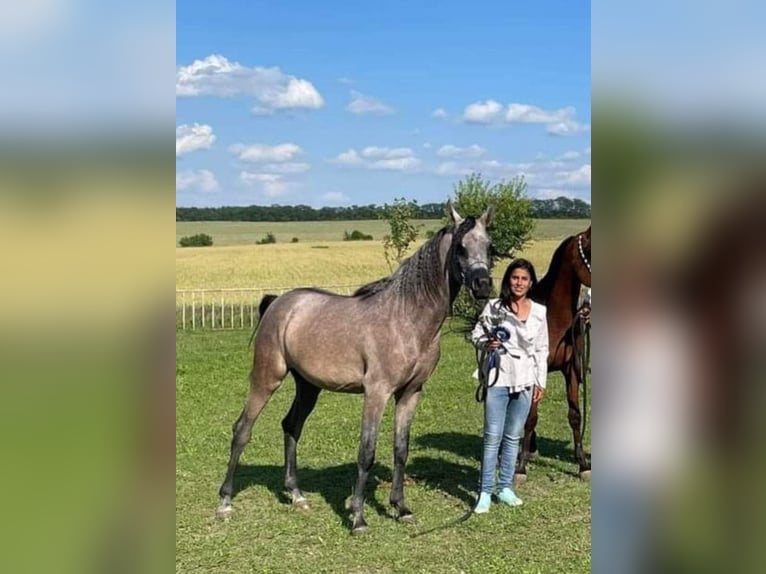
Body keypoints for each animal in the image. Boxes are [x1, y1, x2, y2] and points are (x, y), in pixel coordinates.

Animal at [214, 206, 498, 536]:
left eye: (489, 246)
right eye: (460, 247)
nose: (483, 285)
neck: (406, 319)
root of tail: (279, 303)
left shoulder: (410, 393)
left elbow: (400, 449)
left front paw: (401, 508)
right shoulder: (377, 393)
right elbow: (366, 453)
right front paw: (358, 519)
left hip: (308, 386)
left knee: (291, 426)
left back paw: (297, 495)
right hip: (267, 377)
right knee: (242, 430)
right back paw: (225, 502)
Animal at [520, 227, 596, 484]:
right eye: (591, 253)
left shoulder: (571, 369)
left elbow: (575, 415)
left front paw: (583, 464)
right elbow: (531, 417)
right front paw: (520, 468)